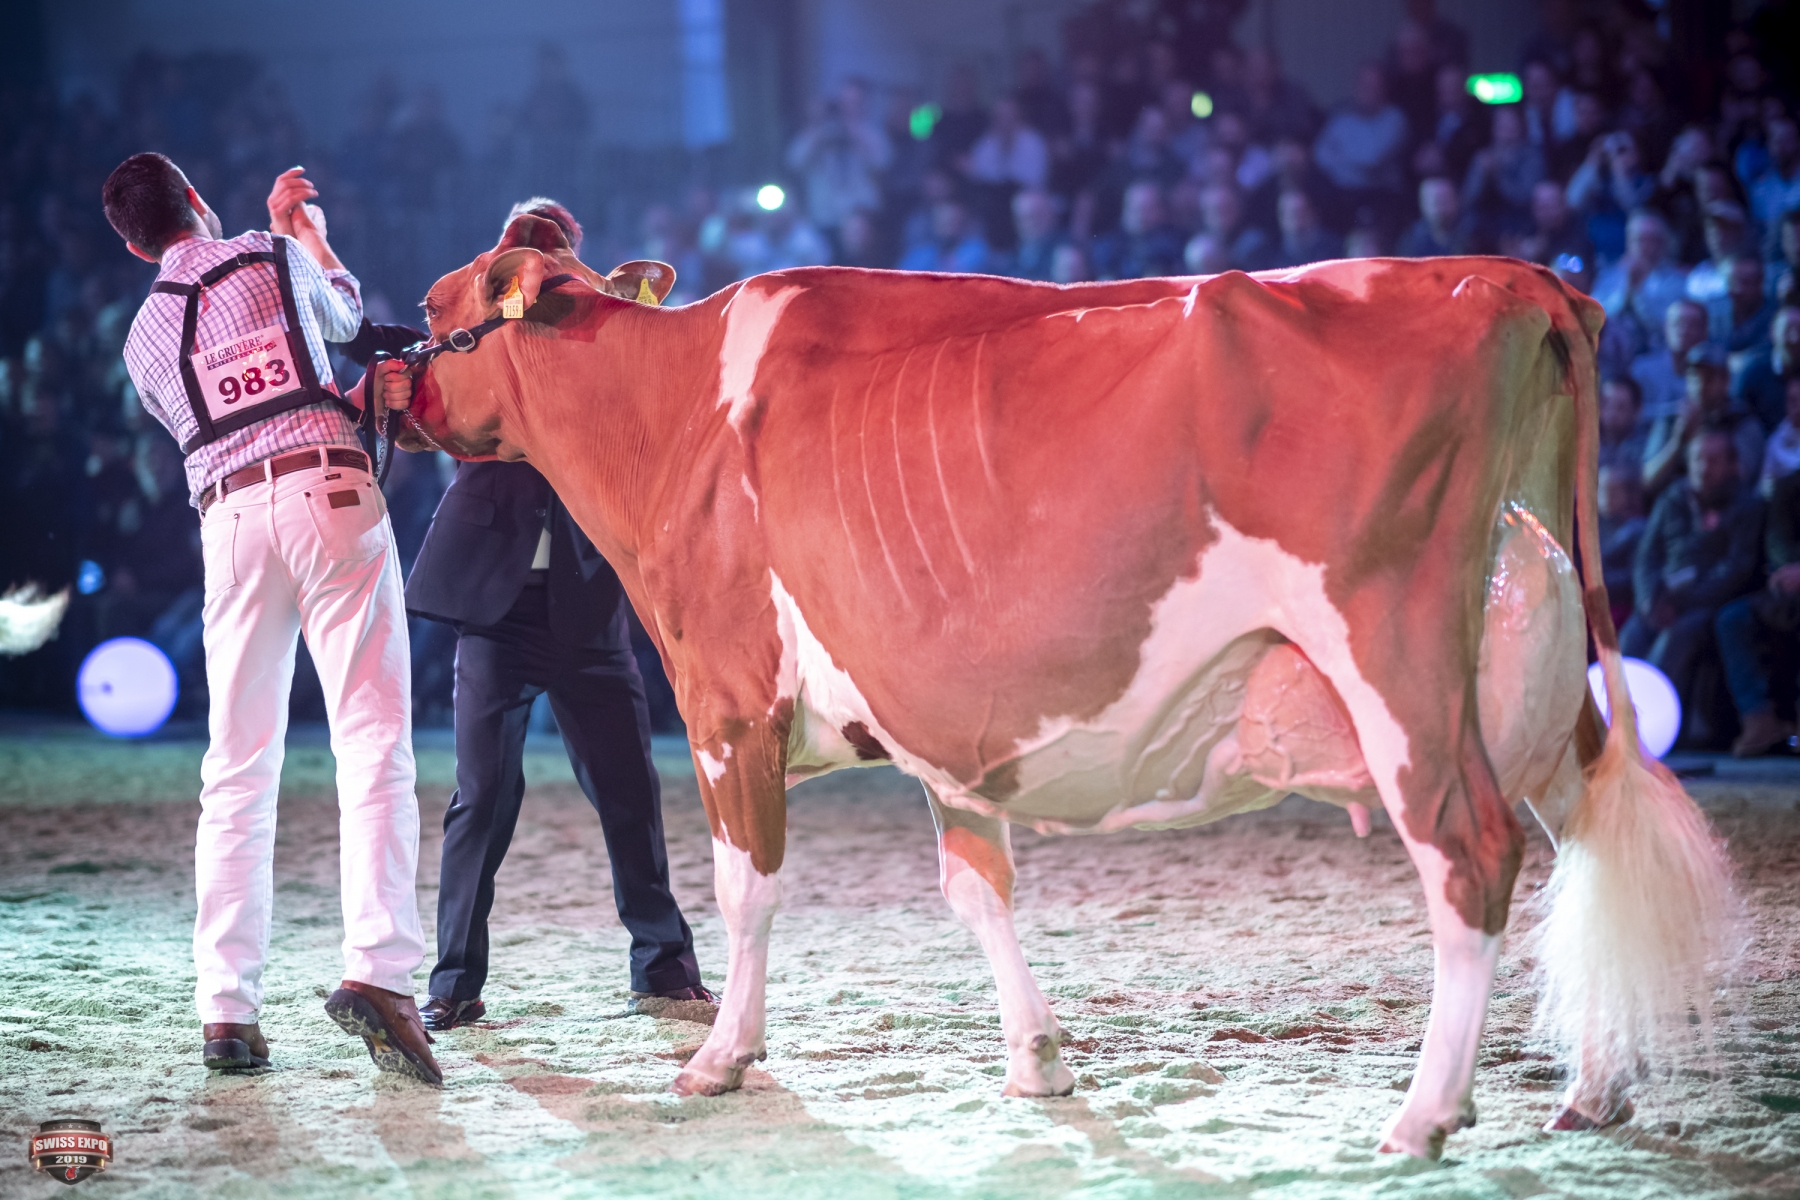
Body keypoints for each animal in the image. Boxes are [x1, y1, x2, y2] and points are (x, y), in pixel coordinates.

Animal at [396, 214, 1736, 1159]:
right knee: (1589, 831)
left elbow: (747, 889)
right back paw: (1594, 1092)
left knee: (1471, 855)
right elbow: (975, 887)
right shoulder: (940, 717)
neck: (671, 408)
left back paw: (1422, 1119)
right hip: (1536, 671)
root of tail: (1511, 278)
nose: (383, 389)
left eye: (427, 309)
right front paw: (1039, 1059)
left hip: (1397, 660)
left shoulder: (728, 702)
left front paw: (721, 1058)